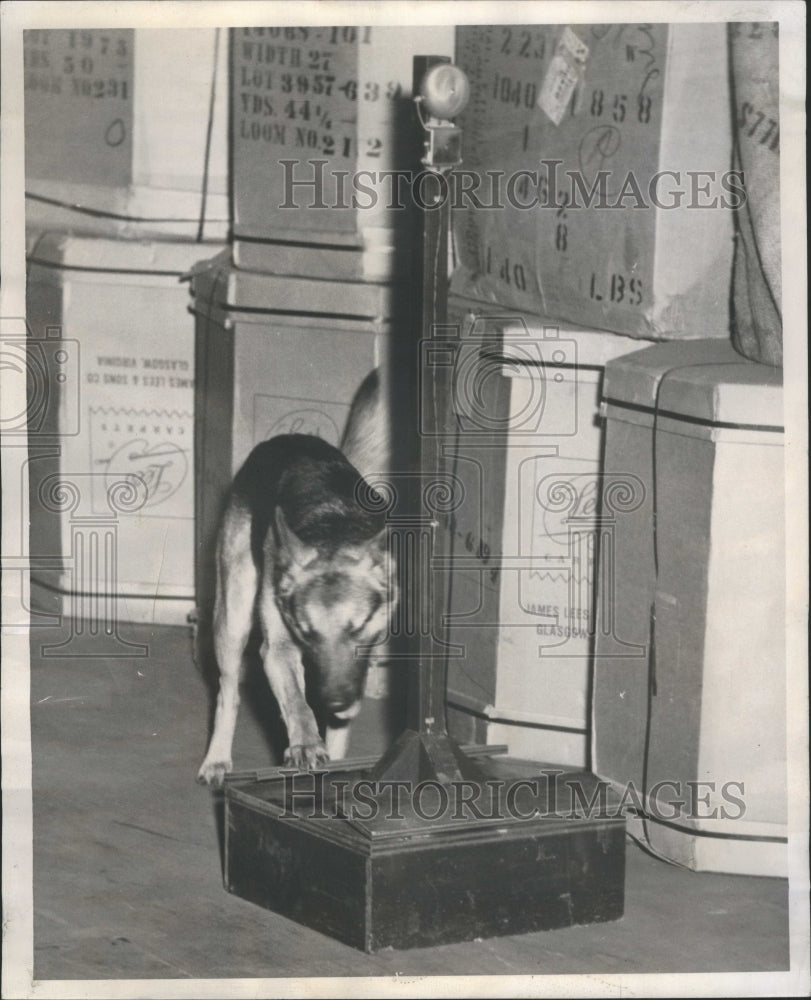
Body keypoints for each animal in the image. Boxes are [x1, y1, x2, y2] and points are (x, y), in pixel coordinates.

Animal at [198, 434, 398, 784]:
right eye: (308, 633)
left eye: (358, 628)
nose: (335, 700)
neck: (333, 529)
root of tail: (284, 439)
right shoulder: (278, 650)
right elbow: (297, 702)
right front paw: (305, 743)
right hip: (232, 618)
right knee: (228, 693)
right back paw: (217, 759)